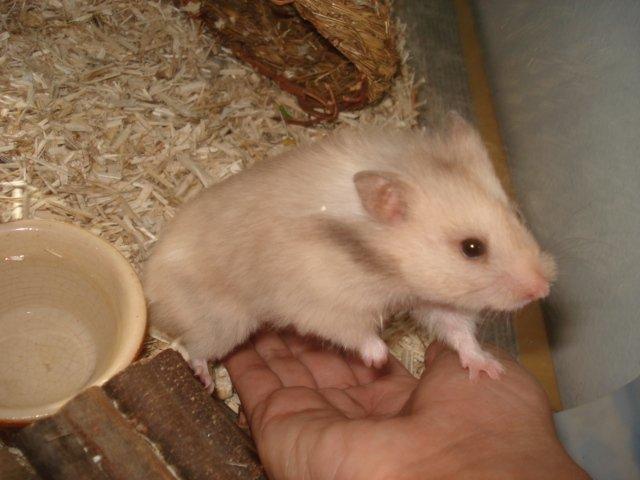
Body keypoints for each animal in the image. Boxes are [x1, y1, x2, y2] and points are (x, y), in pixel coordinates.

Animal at [144, 112, 556, 389]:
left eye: (517, 215)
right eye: (472, 248)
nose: (543, 289)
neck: (379, 263)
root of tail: (150, 277)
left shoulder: (430, 297)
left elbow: (458, 330)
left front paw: (488, 369)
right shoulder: (323, 302)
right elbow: (356, 332)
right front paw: (380, 359)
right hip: (223, 322)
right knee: (191, 345)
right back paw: (205, 380)